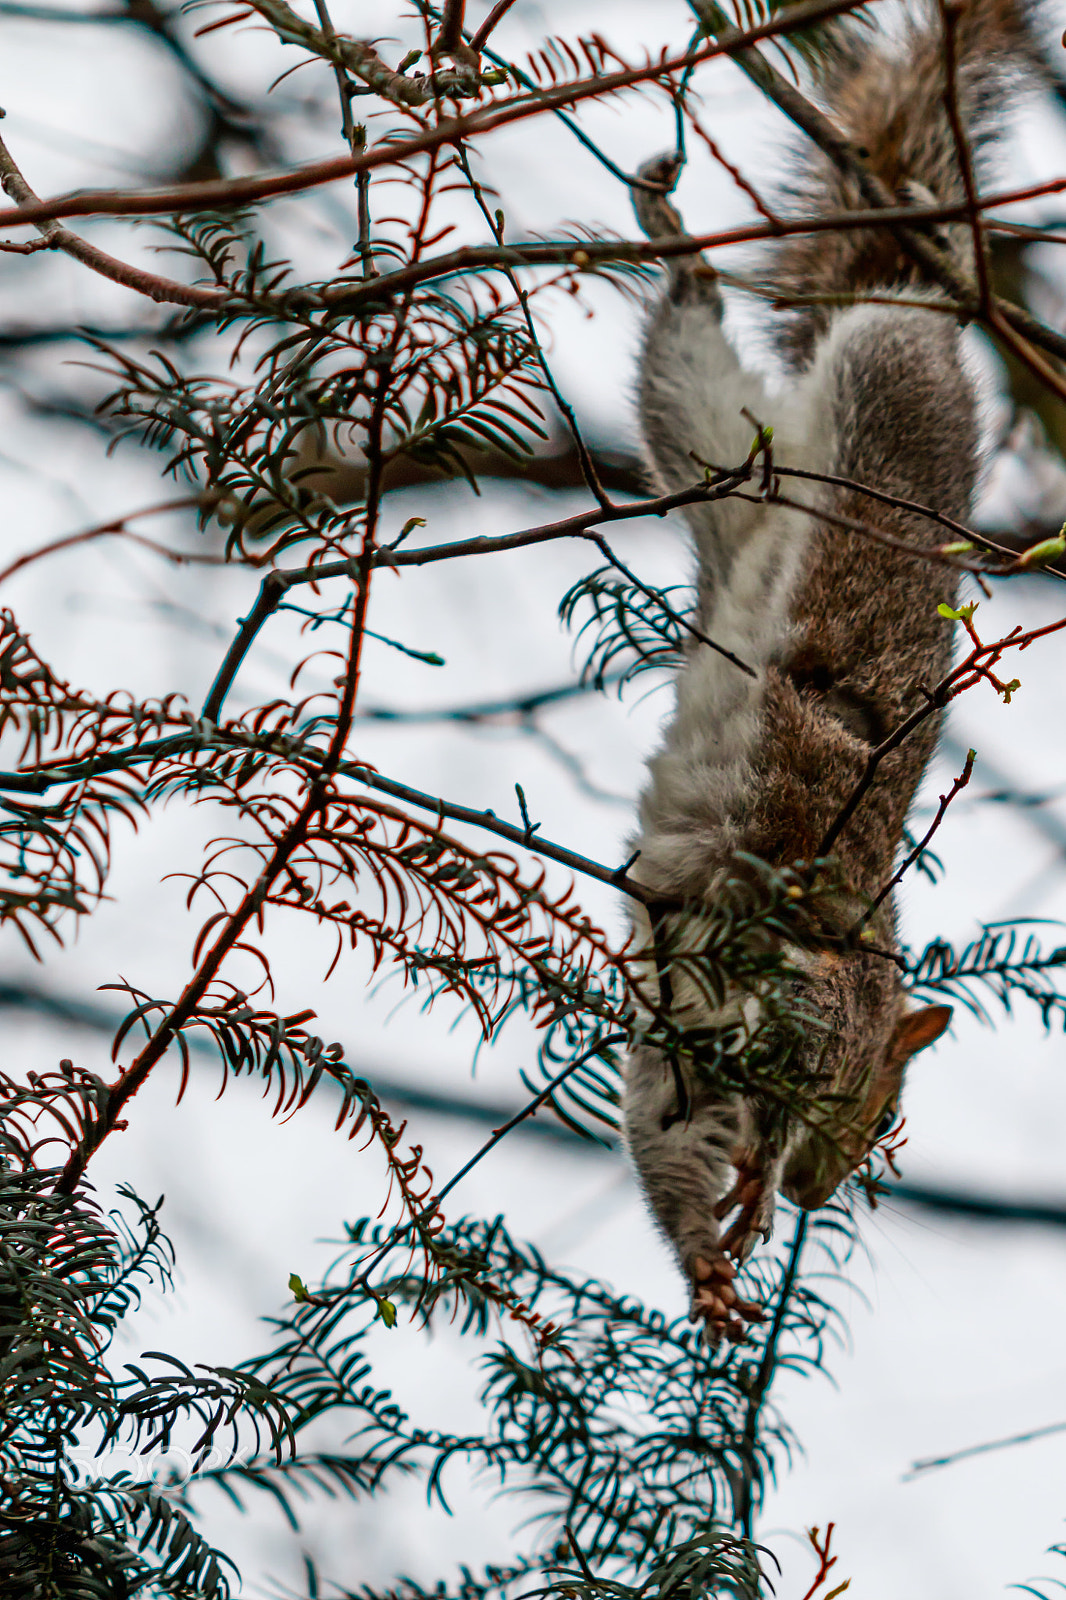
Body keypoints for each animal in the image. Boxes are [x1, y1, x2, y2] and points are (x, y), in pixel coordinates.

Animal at [623, 0, 1036, 1340]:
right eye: (869, 1094)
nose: (810, 1191)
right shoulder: (743, 966)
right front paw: (737, 1203)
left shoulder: (677, 1033)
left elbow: (666, 1129)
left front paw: (714, 1240)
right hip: (869, 406)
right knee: (875, 346)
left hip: (708, 441)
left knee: (689, 342)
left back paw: (676, 248)